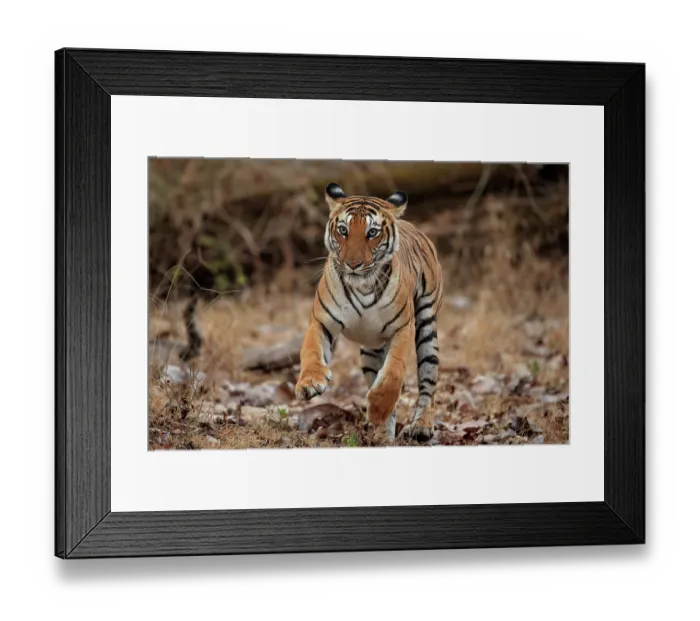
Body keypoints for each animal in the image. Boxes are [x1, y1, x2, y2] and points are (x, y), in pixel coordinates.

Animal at [295, 183, 444, 445]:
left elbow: (394, 371)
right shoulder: (322, 322)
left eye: (372, 233)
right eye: (343, 230)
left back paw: (421, 426)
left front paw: (378, 408)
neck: (362, 286)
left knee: (428, 380)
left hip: (427, 327)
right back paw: (383, 435)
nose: (353, 264)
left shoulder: (404, 327)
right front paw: (309, 382)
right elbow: (311, 351)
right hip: (370, 352)